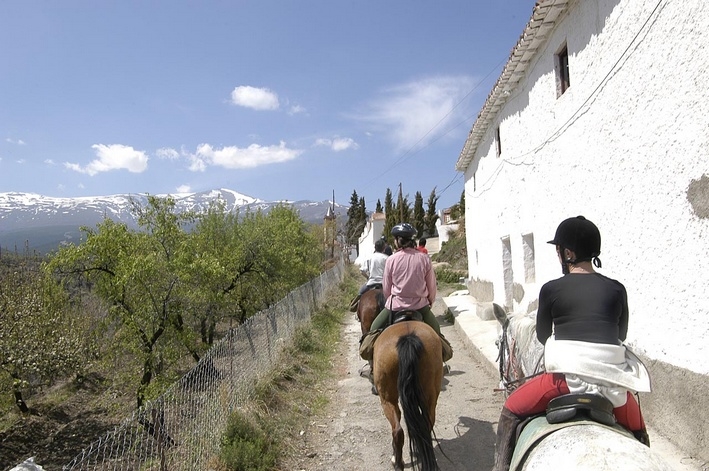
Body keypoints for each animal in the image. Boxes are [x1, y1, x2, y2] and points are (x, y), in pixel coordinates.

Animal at [370, 320, 442, 471]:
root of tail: (408, 338)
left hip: (387, 399)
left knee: (397, 431)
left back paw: (397, 463)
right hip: (430, 398)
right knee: (425, 427)